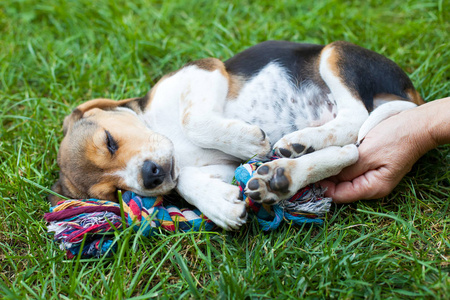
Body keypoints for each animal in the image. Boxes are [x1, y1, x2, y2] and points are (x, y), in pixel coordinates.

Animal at [51, 41, 424, 230]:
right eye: (114, 192)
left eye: (109, 141)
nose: (151, 176)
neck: (159, 126)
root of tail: (411, 91)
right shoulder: (219, 167)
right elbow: (185, 179)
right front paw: (219, 205)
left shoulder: (205, 70)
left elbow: (192, 119)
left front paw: (248, 140)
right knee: (349, 152)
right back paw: (282, 174)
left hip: (335, 53)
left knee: (355, 117)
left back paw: (299, 142)